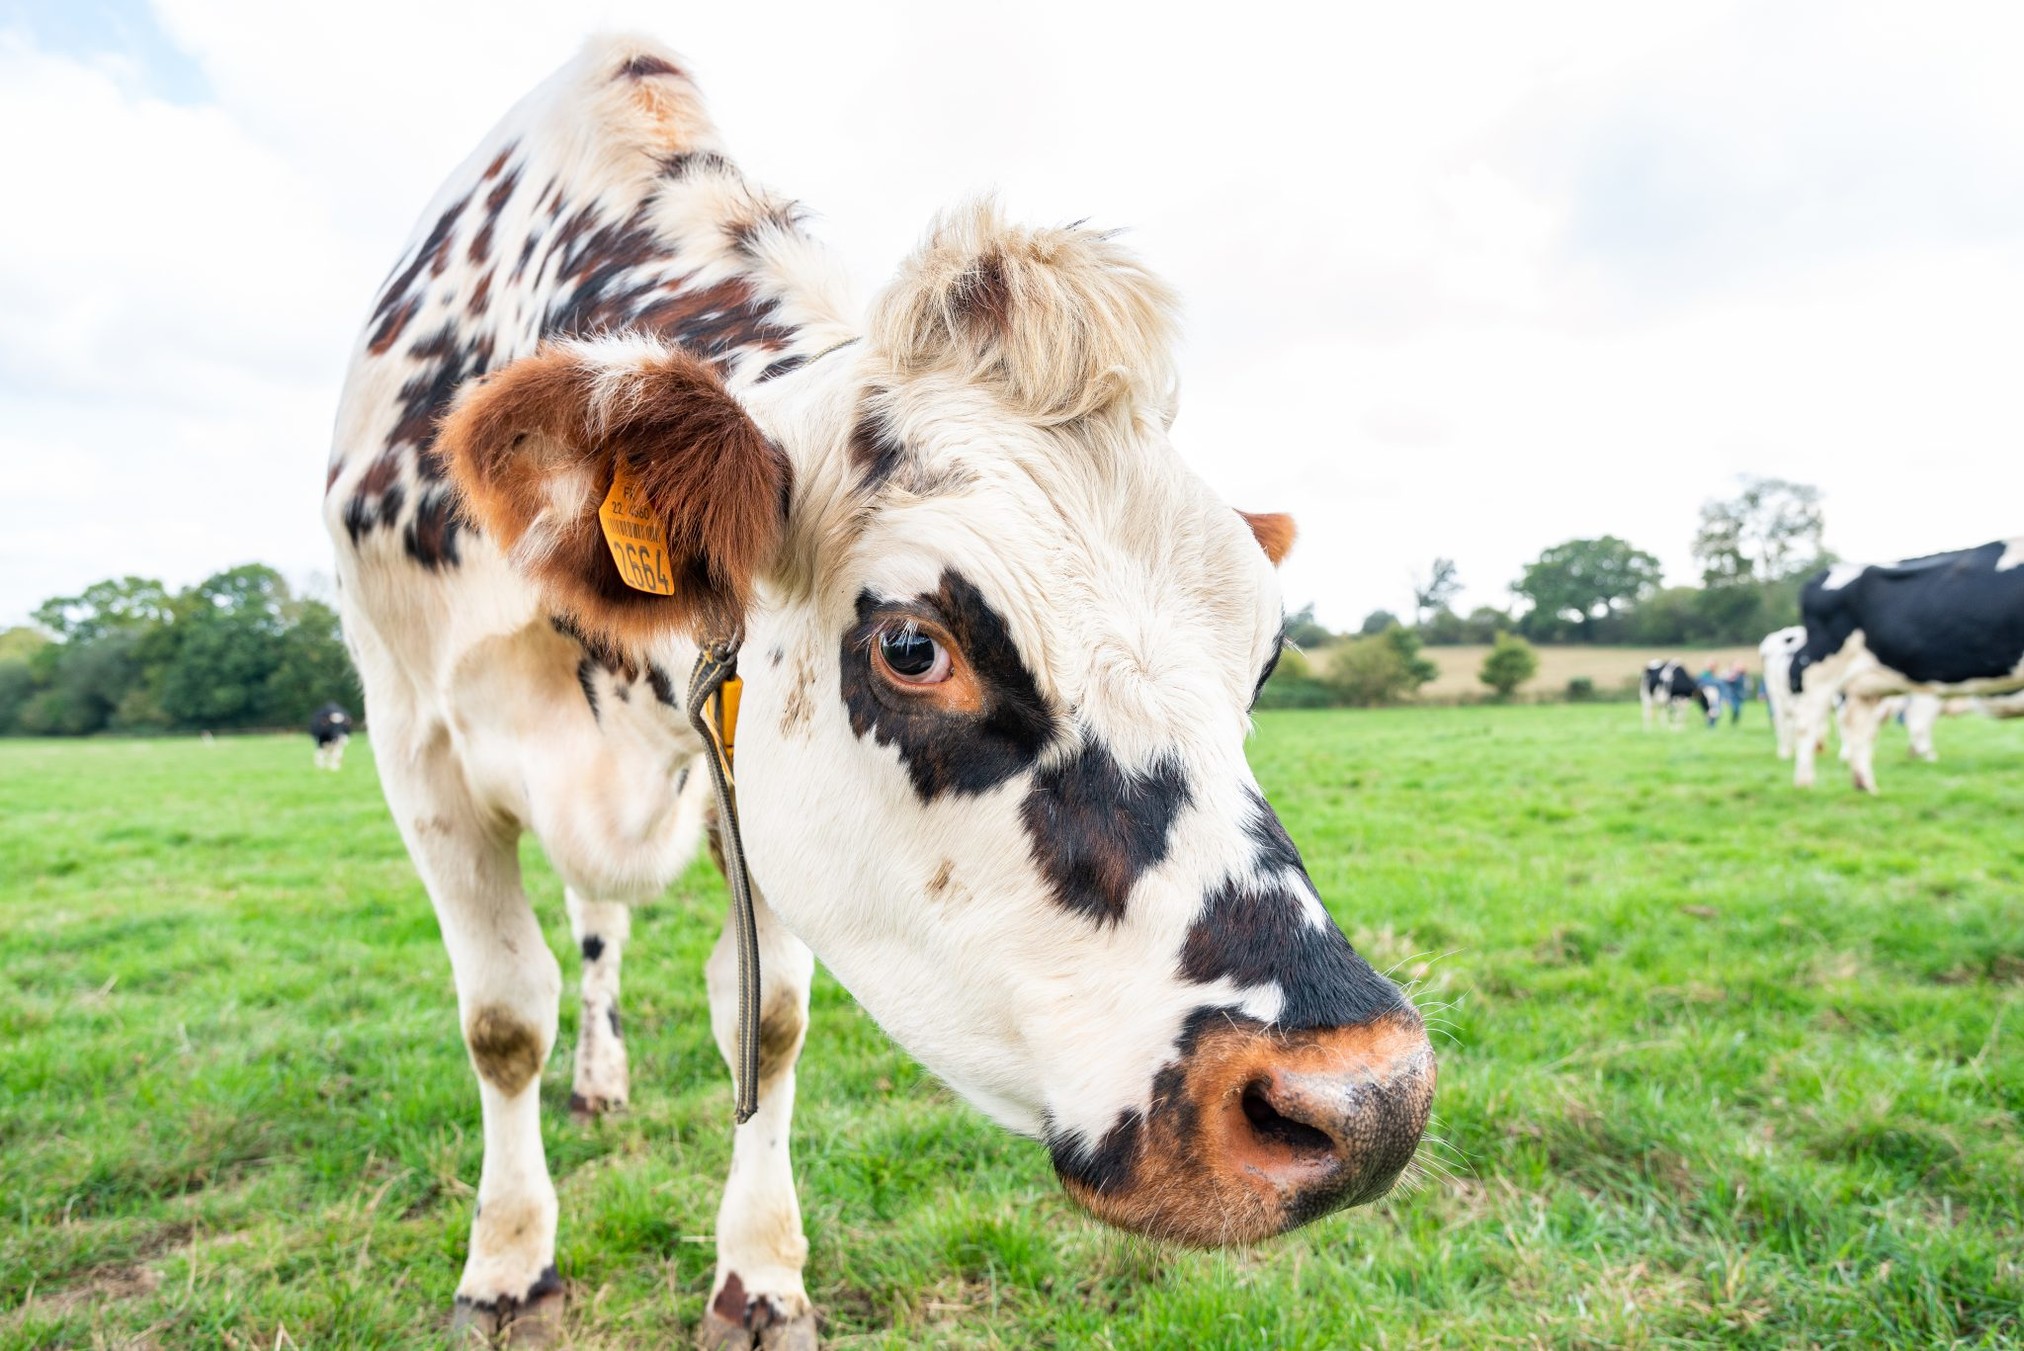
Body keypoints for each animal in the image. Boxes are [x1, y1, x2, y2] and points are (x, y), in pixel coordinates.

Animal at [323, 34, 1441, 1351]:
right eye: (914, 646)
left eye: (1261, 654)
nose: (1363, 1096)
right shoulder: (415, 746)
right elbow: (504, 1020)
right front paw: (506, 1266)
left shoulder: (740, 776)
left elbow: (761, 1022)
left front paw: (758, 1275)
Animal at [1789, 538, 2023, 793]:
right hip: (1821, 671)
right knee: (1807, 722)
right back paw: (1805, 784)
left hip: (1863, 684)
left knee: (1858, 725)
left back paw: (1866, 787)